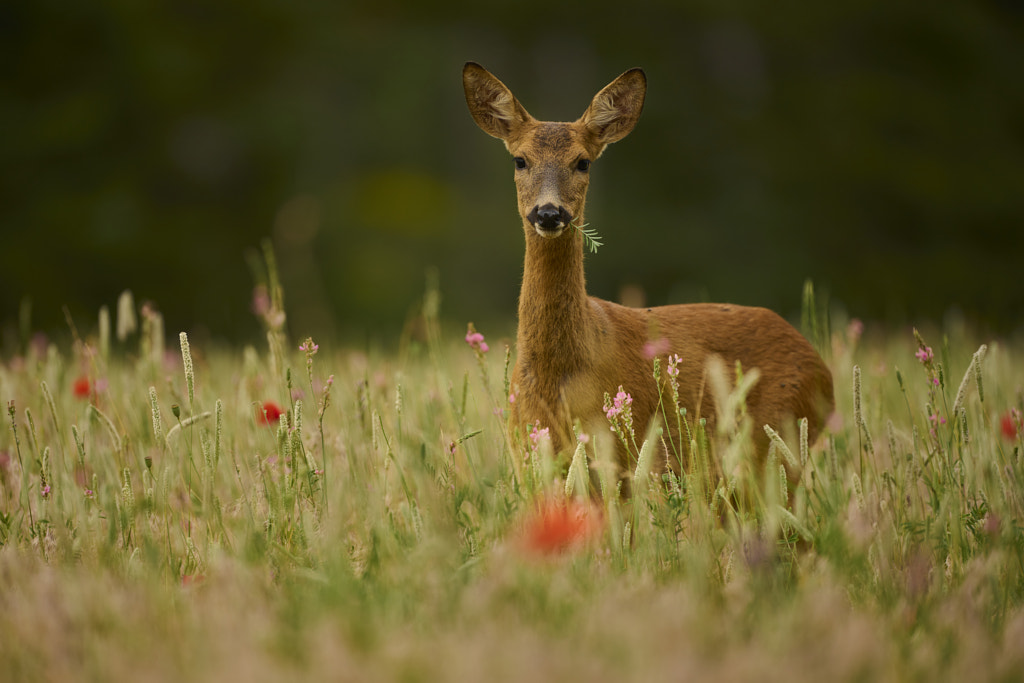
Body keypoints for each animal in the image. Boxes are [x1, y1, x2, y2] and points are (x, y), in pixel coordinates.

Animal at [464, 62, 831, 475]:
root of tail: (823, 369)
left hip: (775, 443)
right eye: (520, 160)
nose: (548, 212)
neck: (560, 374)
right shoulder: (531, 456)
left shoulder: (639, 452)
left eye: (582, 161)